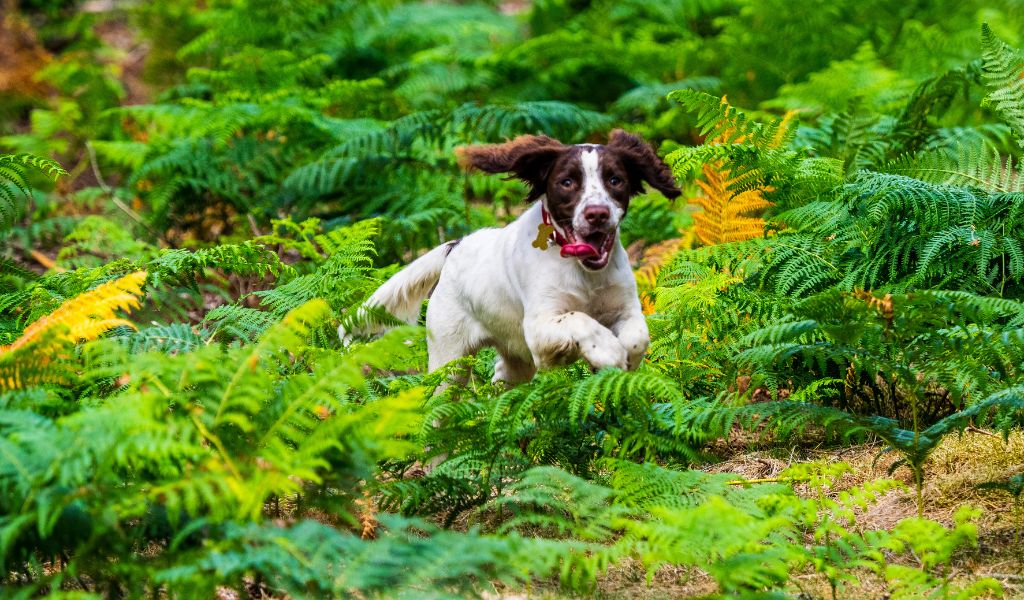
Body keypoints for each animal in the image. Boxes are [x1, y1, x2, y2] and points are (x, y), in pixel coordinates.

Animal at [342, 129, 679, 382]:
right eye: (567, 182)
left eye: (615, 180)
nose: (597, 214)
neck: (584, 271)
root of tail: (456, 245)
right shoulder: (539, 330)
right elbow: (579, 318)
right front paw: (607, 350)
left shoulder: (625, 308)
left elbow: (638, 335)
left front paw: (625, 357)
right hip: (449, 361)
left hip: (515, 359)